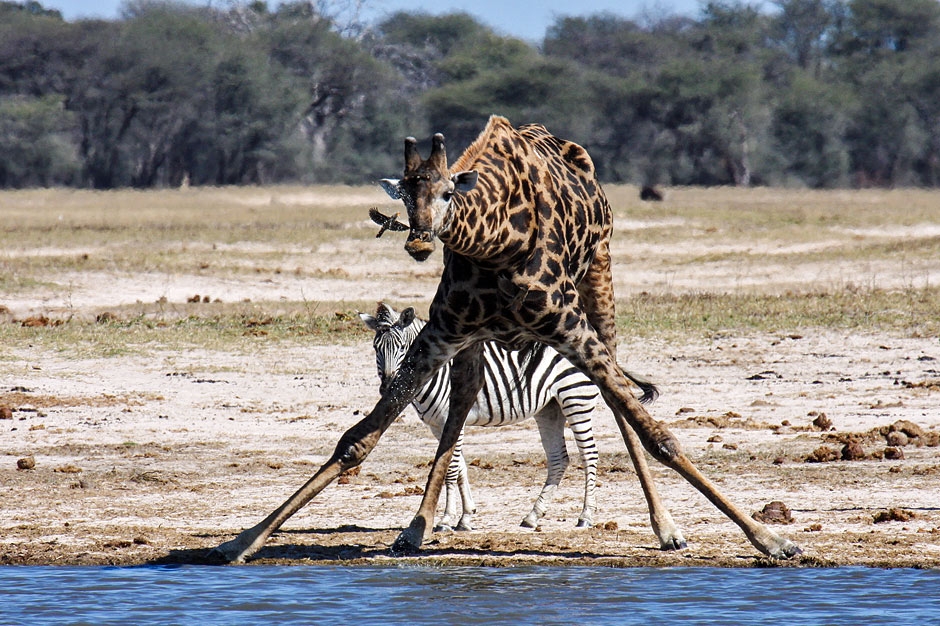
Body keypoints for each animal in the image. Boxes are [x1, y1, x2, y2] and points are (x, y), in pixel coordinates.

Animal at [356, 302, 600, 532]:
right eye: (376, 348)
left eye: (403, 348)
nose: (388, 387)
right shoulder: (437, 426)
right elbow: (459, 467)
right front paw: (466, 517)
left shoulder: (452, 419)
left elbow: (451, 468)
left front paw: (447, 519)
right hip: (549, 409)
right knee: (559, 459)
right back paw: (533, 516)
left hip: (576, 398)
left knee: (589, 455)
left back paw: (585, 516)